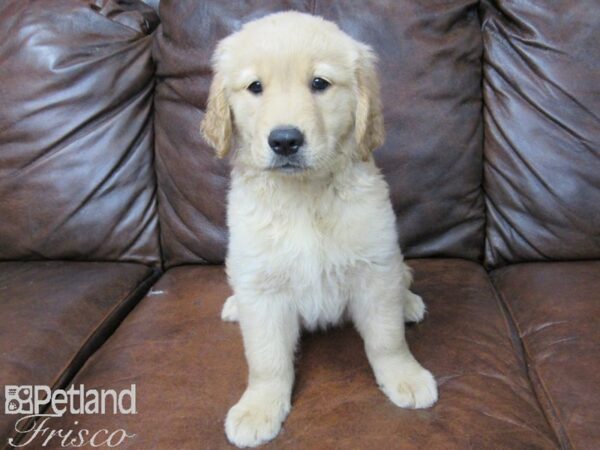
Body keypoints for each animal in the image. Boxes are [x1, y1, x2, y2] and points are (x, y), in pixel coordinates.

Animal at [200, 12, 436, 448]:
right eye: (255, 87)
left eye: (319, 84)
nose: (285, 141)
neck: (303, 197)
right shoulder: (262, 286)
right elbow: (266, 359)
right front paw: (259, 407)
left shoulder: (374, 268)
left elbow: (387, 338)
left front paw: (405, 376)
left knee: (402, 278)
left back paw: (408, 302)